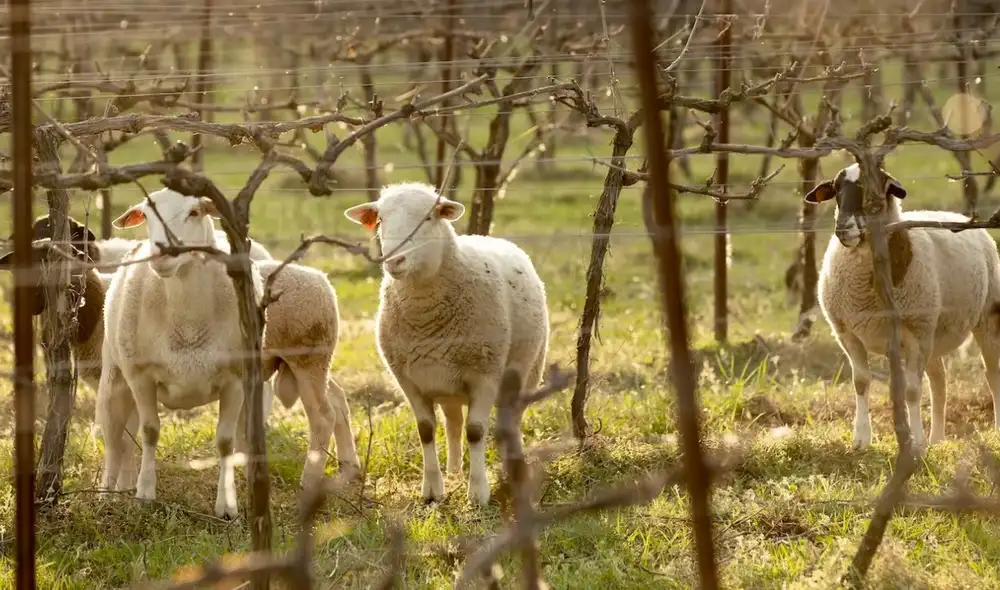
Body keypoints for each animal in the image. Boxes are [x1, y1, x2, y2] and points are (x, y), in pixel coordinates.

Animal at [344, 182, 549, 506]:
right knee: (453, 422)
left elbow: (476, 431)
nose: (394, 261)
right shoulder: (409, 380)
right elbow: (426, 430)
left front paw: (477, 492)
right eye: (380, 221)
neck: (426, 319)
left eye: (428, 218)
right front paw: (432, 491)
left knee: (511, 421)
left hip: (526, 371)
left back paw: (511, 468)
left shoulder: (485, 373)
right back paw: (454, 469)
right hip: (446, 384)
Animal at [806, 162, 1000, 451]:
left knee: (993, 374)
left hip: (984, 319)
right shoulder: (848, 335)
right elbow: (861, 382)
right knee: (939, 381)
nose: (843, 230)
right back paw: (937, 439)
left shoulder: (915, 336)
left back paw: (993, 431)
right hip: (932, 330)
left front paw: (915, 443)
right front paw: (861, 439)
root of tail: (963, 217)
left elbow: (911, 391)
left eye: (873, 194)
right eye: (836, 190)